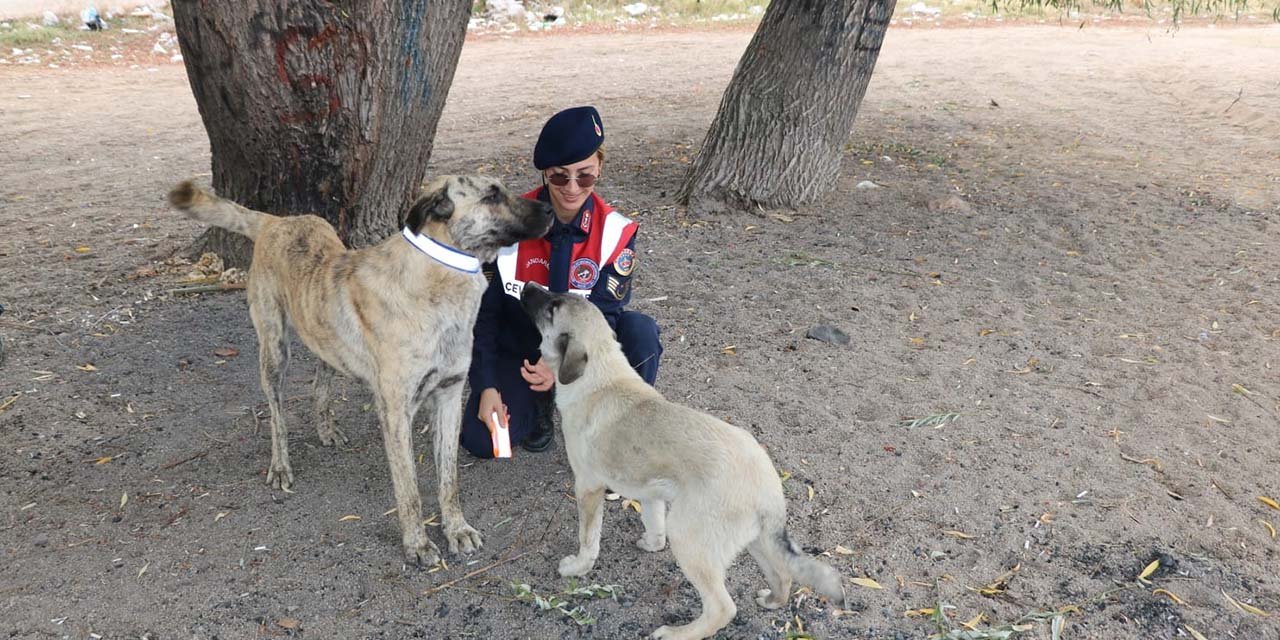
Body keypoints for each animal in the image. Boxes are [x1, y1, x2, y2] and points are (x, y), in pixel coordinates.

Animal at [167, 176, 552, 565]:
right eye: (492, 195)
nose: (550, 208)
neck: (439, 275)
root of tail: (275, 222)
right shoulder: (396, 413)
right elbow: (409, 489)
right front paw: (417, 543)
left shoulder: (449, 395)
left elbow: (449, 479)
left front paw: (456, 530)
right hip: (274, 350)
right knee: (276, 415)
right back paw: (280, 465)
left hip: (324, 336)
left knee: (319, 383)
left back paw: (326, 429)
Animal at [514, 284, 844, 640]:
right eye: (553, 296)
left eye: (552, 307)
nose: (528, 287)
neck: (600, 376)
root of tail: (768, 485)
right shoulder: (650, 493)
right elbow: (653, 524)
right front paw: (651, 544)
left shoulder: (588, 487)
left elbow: (588, 539)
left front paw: (577, 567)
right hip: (756, 541)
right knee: (783, 575)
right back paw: (771, 599)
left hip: (689, 540)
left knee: (721, 609)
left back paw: (675, 633)